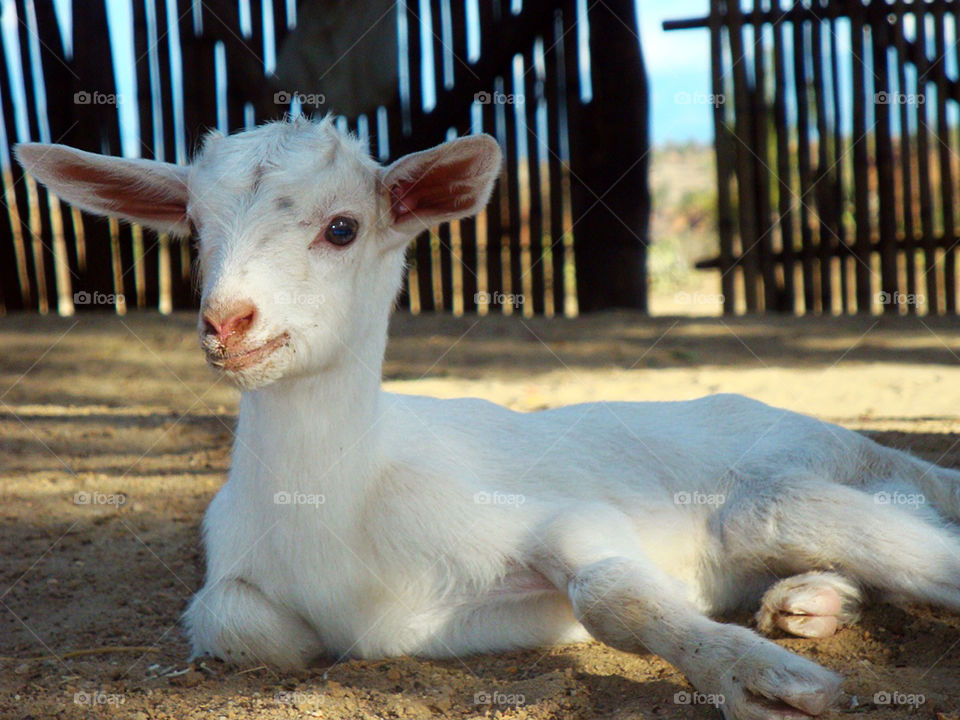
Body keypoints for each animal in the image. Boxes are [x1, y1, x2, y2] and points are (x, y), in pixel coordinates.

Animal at [15, 116, 960, 720]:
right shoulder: (238, 593)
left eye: (342, 228)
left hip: (807, 483)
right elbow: (233, 624)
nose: (228, 322)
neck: (340, 509)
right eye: (191, 227)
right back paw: (809, 602)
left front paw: (759, 683)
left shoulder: (553, 514)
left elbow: (612, 592)